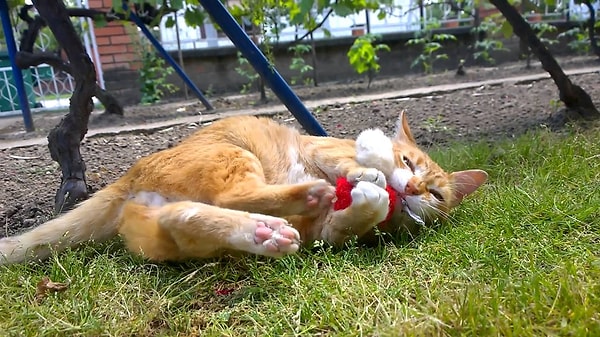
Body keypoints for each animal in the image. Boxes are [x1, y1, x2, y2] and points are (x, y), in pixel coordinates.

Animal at [0, 111, 488, 264]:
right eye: (410, 161)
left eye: (437, 196)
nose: (415, 188)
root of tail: (129, 176)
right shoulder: (321, 148)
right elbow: (358, 157)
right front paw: (373, 160)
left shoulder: (327, 233)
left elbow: (351, 217)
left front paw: (370, 198)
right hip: (232, 153)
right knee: (226, 198)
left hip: (171, 228)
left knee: (187, 214)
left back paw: (265, 232)